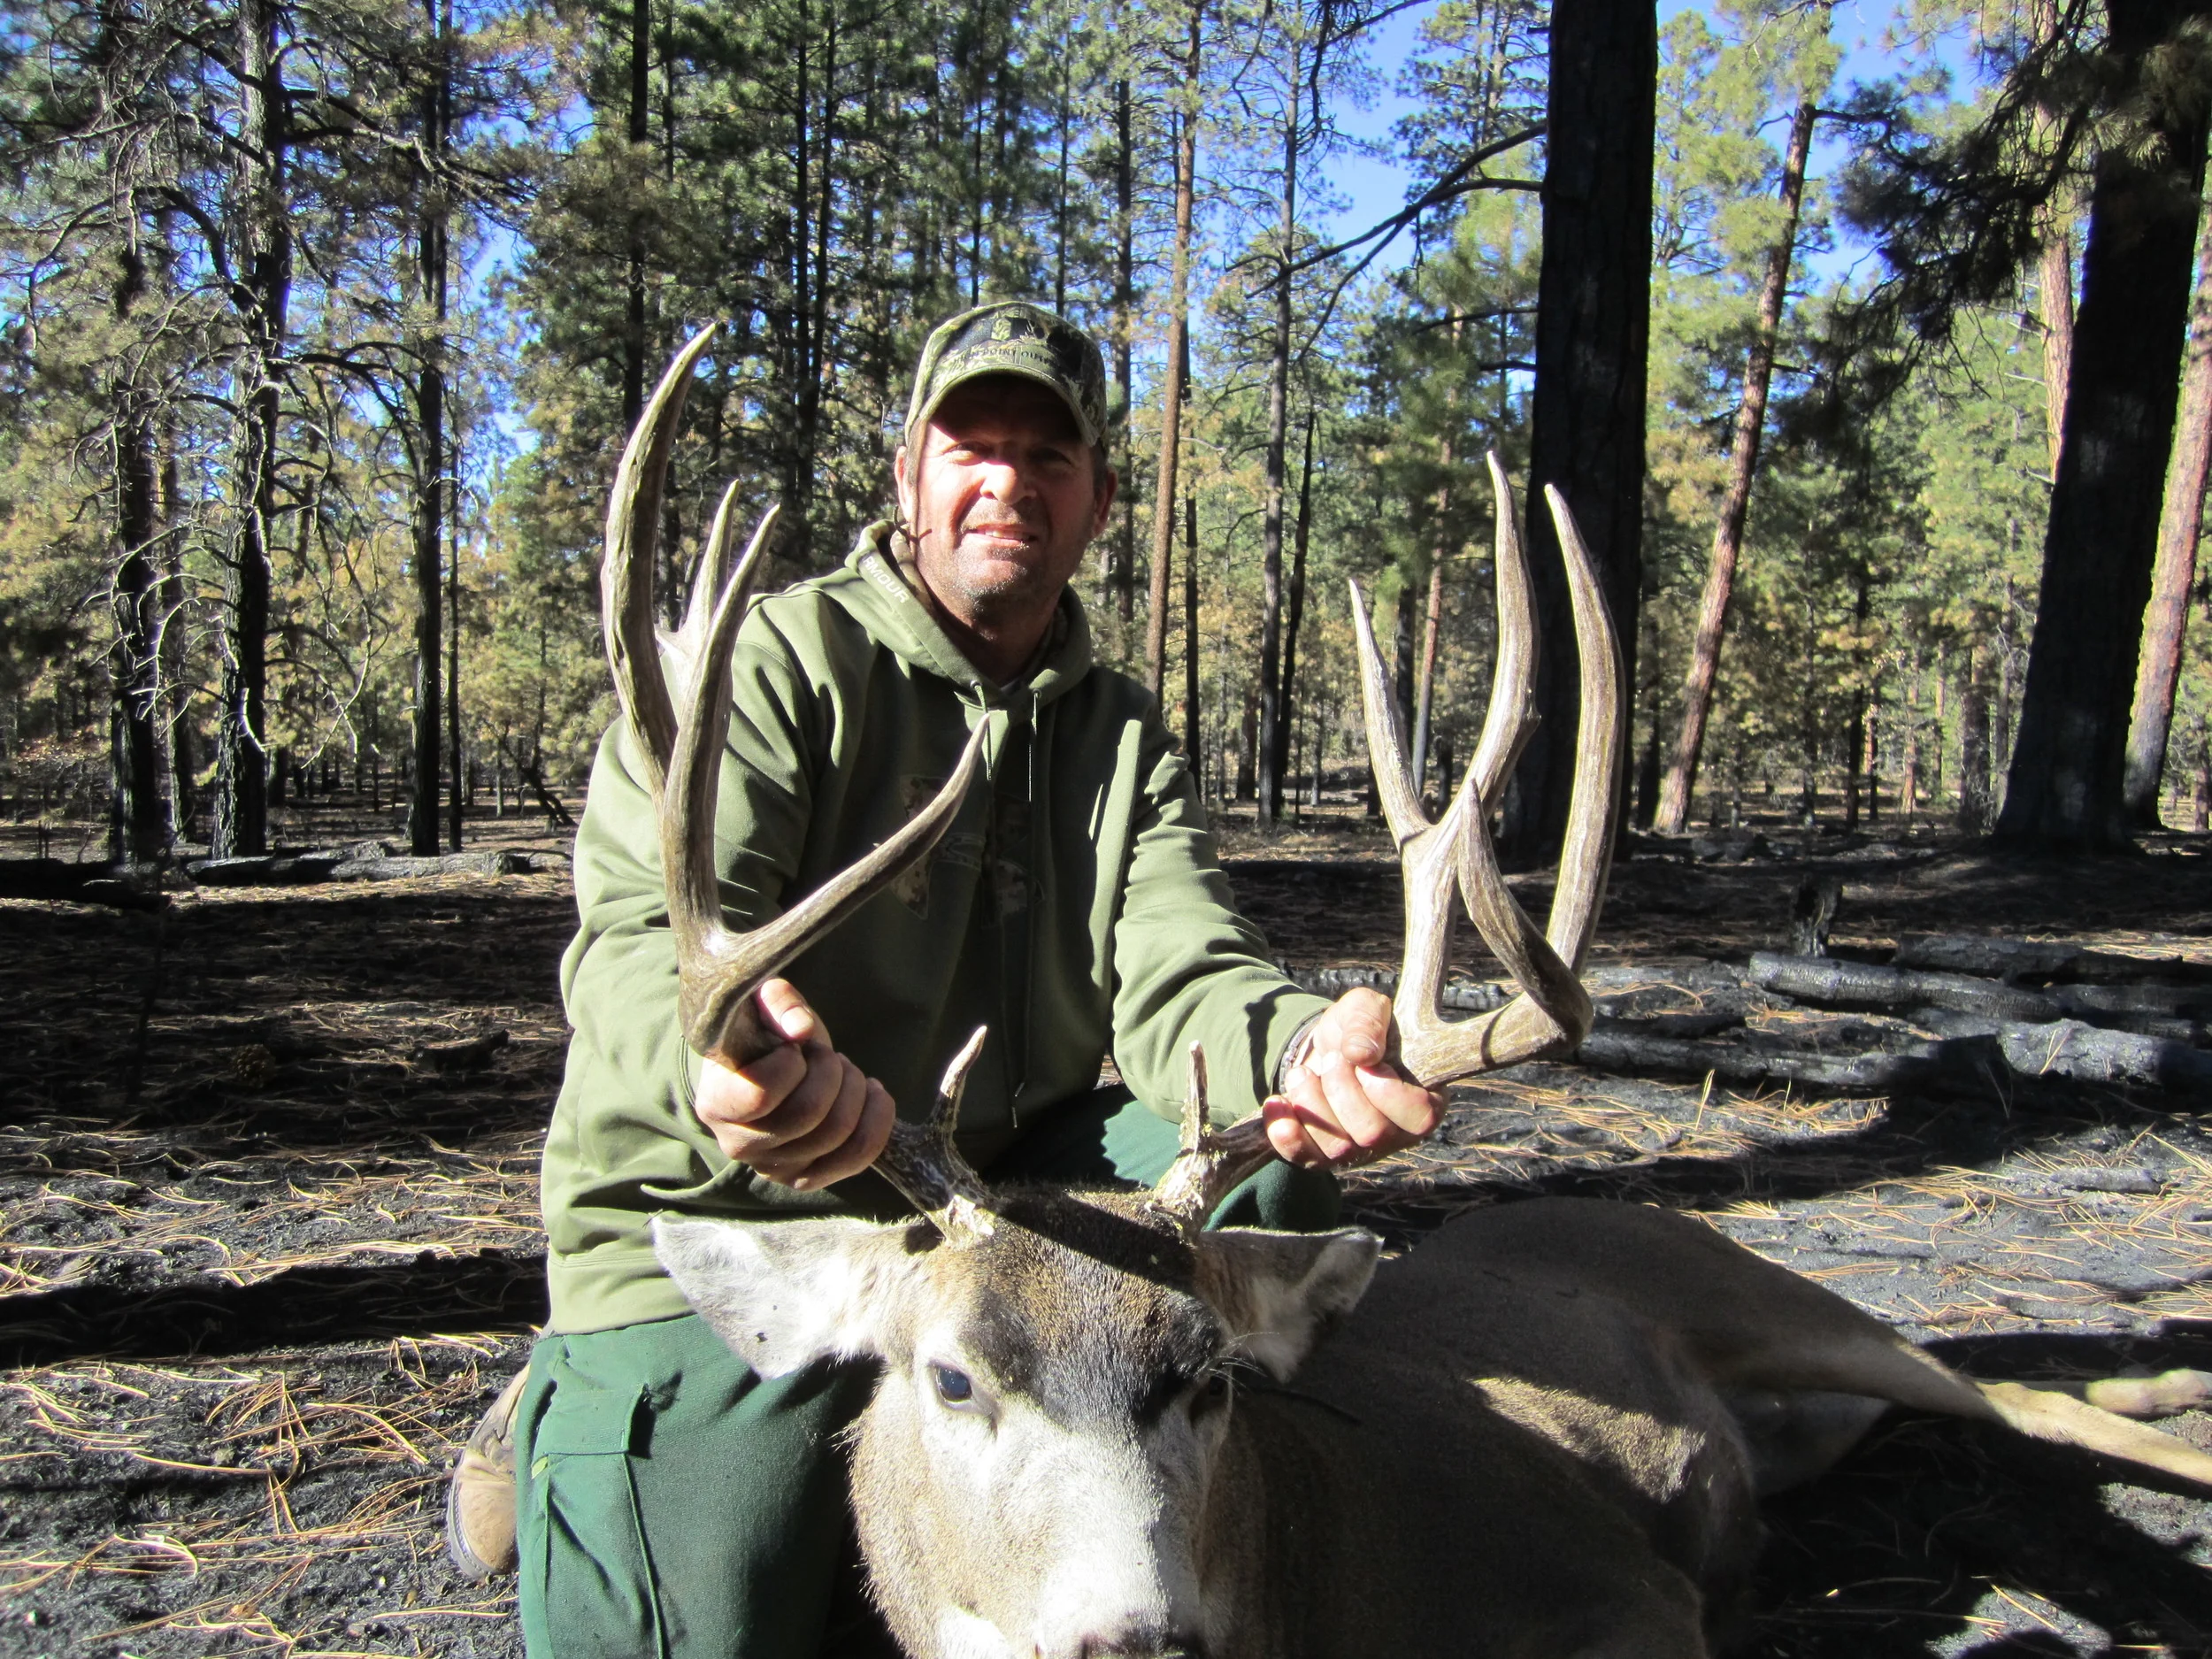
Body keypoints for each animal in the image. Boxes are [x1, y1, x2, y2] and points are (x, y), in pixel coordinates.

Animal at [608, 333, 2212, 1659]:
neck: (1311, 1581)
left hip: (1775, 1295)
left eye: (1211, 1377)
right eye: (950, 1380)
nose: (1138, 1638)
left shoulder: (1616, 1592)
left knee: (2009, 1390)